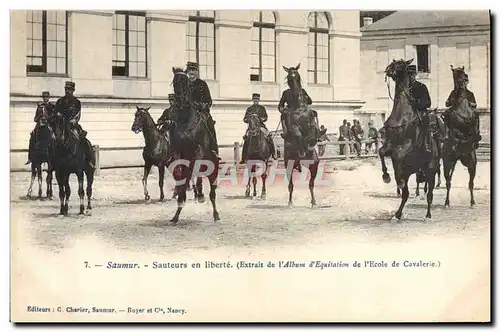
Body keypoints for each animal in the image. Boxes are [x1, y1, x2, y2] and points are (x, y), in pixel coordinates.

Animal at [168, 67, 219, 223]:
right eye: (174, 82)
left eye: (185, 82)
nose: (179, 101)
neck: (186, 121)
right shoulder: (179, 152)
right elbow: (180, 173)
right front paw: (180, 196)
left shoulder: (199, 151)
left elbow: (197, 171)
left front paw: (199, 194)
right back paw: (176, 214)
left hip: (213, 170)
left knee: (212, 193)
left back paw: (215, 212)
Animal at [282, 65, 320, 208]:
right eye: (289, 78)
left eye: (297, 77)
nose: (297, 94)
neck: (299, 107)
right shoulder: (294, 127)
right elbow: (297, 132)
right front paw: (303, 146)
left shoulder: (310, 124)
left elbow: (312, 131)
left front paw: (310, 141)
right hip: (289, 165)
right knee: (291, 185)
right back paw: (290, 202)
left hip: (314, 165)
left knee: (311, 184)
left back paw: (314, 202)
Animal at [380, 59, 440, 220]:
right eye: (393, 62)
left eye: (401, 65)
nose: (388, 69)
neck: (401, 116)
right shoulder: (388, 145)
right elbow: (381, 152)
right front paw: (386, 176)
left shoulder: (406, 147)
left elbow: (397, 155)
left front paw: (392, 178)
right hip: (412, 172)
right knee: (405, 194)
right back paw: (398, 214)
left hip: (431, 171)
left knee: (430, 194)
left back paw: (428, 215)